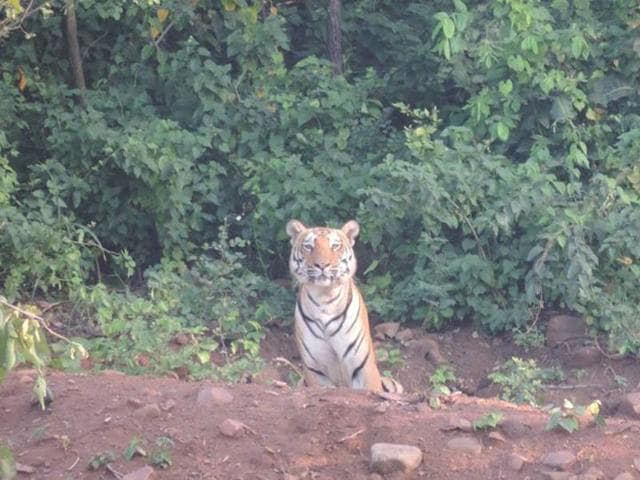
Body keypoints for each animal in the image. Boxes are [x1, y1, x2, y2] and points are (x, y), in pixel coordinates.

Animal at [286, 219, 403, 393]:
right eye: (308, 246)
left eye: (335, 246)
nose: (322, 265)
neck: (325, 298)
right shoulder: (315, 371)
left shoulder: (364, 367)